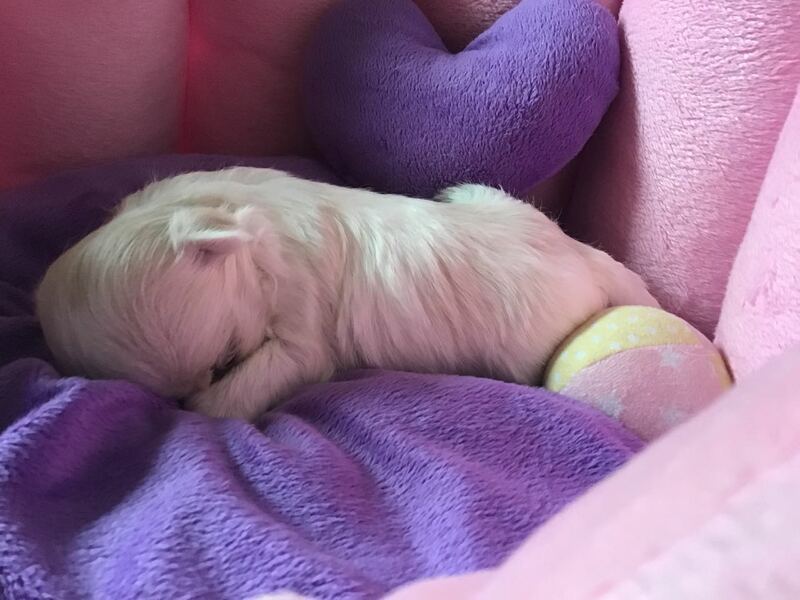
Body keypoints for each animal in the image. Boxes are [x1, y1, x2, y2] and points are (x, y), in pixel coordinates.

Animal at [36, 167, 657, 421]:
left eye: (227, 360)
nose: (190, 393)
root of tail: (582, 255)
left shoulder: (300, 324)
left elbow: (255, 382)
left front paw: (209, 407)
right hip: (491, 198)